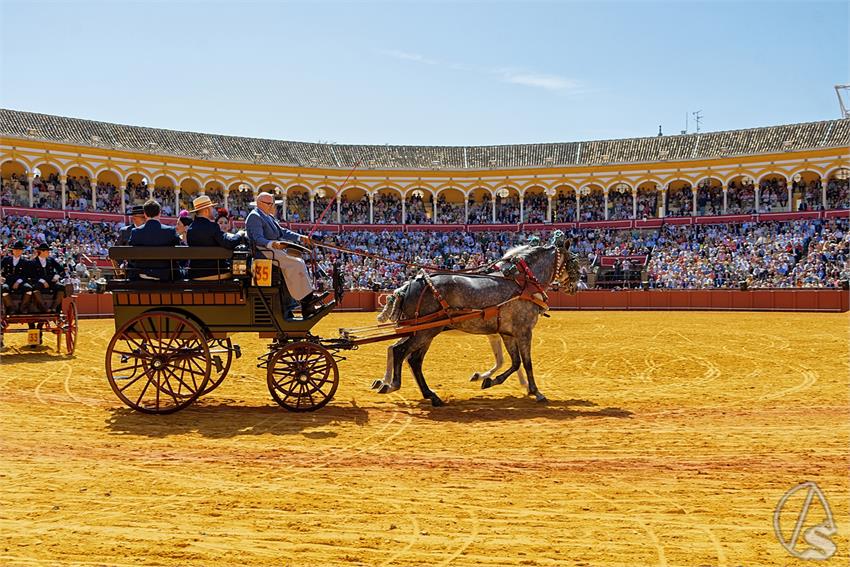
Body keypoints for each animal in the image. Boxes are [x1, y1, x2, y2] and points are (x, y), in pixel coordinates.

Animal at [372, 233, 576, 406]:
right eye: (573, 260)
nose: (574, 286)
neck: (523, 283)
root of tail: (409, 284)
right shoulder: (523, 331)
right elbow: (525, 362)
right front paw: (535, 391)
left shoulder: (506, 332)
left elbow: (513, 362)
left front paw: (490, 381)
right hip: (425, 331)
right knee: (400, 351)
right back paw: (392, 385)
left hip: (422, 332)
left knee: (408, 357)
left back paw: (425, 394)